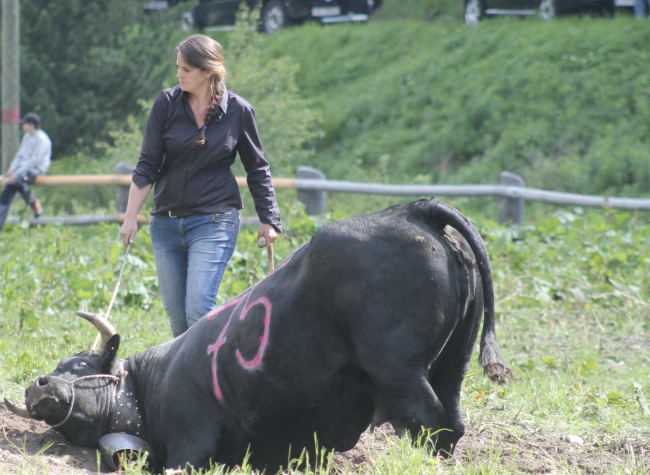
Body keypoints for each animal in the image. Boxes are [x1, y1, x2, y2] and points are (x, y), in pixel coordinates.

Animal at [6, 200, 512, 472]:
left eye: (80, 364)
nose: (37, 385)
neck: (150, 383)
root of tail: (412, 210)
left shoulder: (192, 439)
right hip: (450, 365)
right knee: (450, 425)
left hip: (399, 368)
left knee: (428, 420)